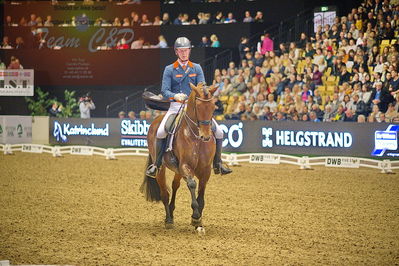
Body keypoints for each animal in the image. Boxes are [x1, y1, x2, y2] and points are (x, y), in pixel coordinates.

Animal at [141, 82, 219, 234]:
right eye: (198, 107)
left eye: (213, 106)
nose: (206, 136)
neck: (195, 137)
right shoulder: (185, 166)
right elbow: (192, 184)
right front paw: (196, 217)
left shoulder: (205, 170)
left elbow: (201, 195)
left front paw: (199, 224)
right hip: (161, 168)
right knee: (164, 193)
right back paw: (169, 220)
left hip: (177, 170)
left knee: (174, 185)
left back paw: (171, 212)